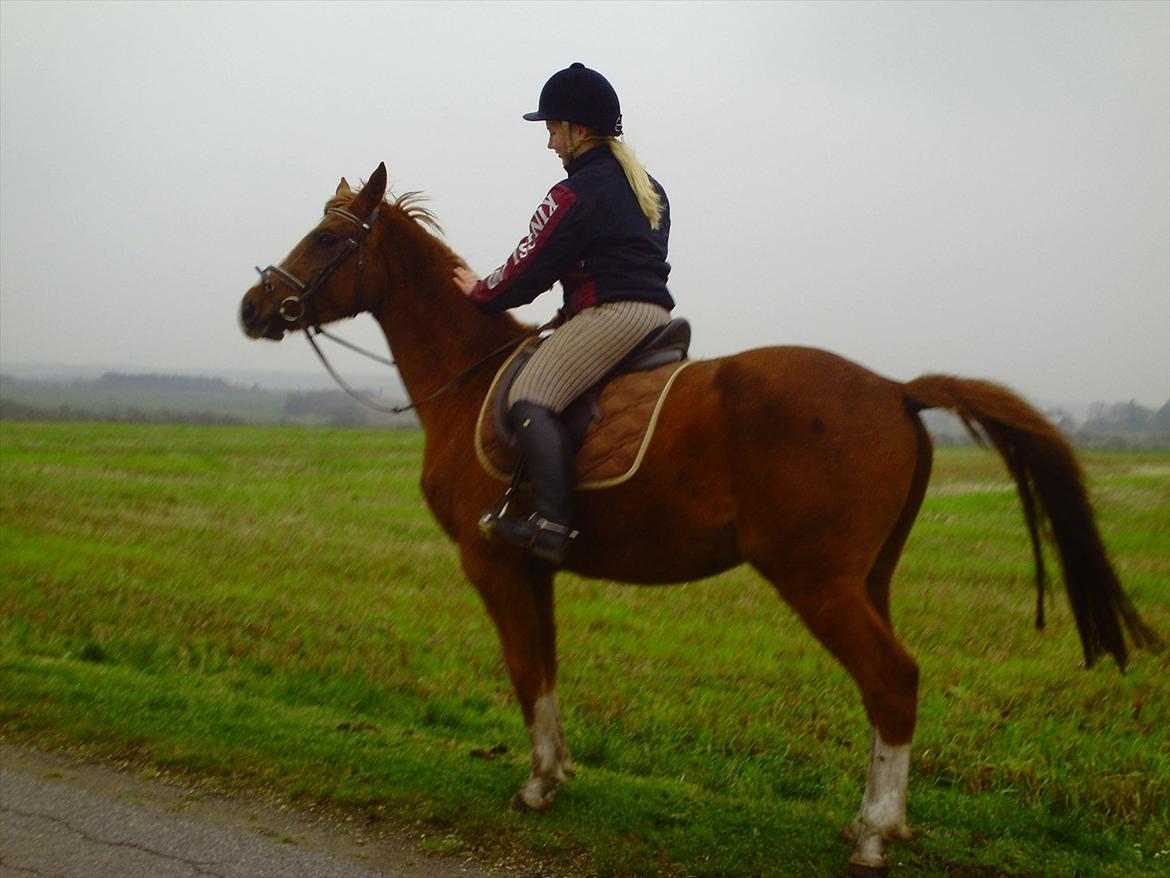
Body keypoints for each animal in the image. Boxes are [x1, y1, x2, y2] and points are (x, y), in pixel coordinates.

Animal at [239, 165, 1160, 878]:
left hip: (817, 580)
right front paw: (559, 771)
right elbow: (547, 668)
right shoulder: (533, 567)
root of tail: (896, 389)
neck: (467, 380)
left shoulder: (491, 563)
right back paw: (880, 820)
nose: (252, 307)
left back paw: (872, 837)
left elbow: (524, 669)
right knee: (886, 686)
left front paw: (535, 786)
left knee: (892, 679)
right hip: (868, 577)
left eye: (327, 240)